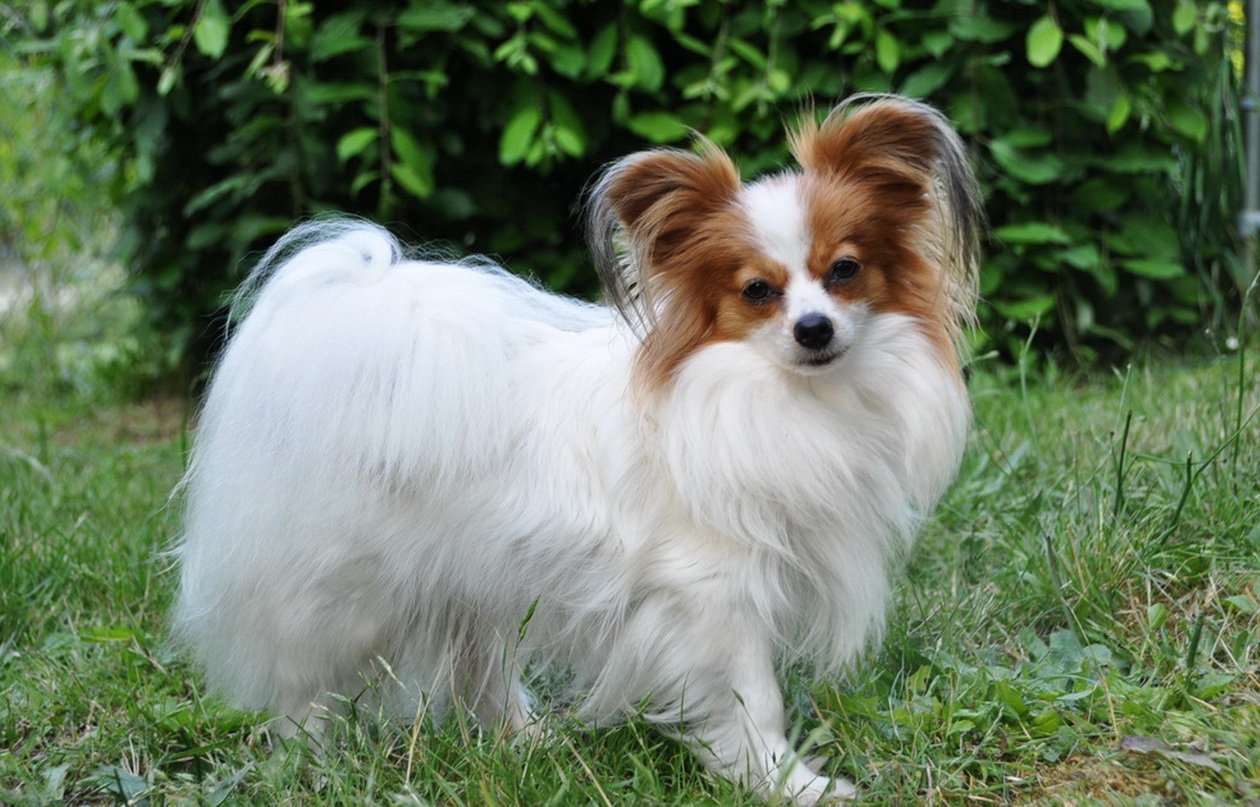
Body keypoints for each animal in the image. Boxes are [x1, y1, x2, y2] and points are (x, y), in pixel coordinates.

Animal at [172, 94, 982, 801]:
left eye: (845, 270)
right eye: (758, 290)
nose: (814, 330)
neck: (780, 398)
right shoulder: (714, 594)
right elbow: (755, 701)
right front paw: (787, 784)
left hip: (470, 573)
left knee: (475, 668)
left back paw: (527, 739)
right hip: (338, 591)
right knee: (302, 684)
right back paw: (315, 765)